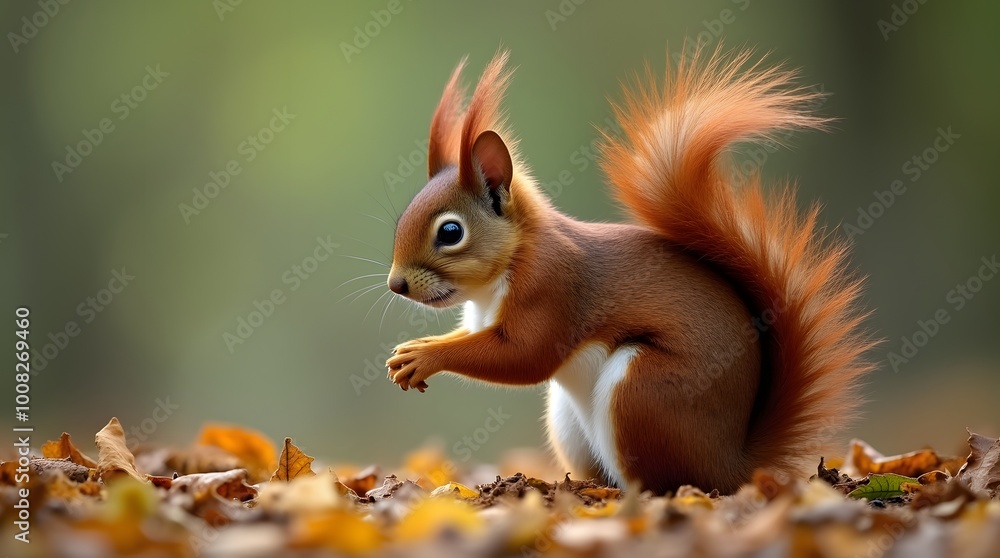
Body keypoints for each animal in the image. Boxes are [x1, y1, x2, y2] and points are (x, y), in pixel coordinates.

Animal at [383, 46, 873, 494]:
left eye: (450, 231)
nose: (396, 284)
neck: (503, 271)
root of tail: (733, 466)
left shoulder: (552, 286)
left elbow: (524, 355)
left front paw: (424, 355)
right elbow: (477, 339)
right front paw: (418, 349)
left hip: (643, 392)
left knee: (659, 483)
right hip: (569, 422)